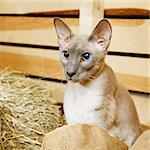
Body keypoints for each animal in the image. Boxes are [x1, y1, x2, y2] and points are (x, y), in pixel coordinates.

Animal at [54, 17, 142, 146]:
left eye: (86, 56)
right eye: (66, 55)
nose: (70, 73)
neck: (81, 89)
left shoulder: (99, 122)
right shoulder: (73, 119)